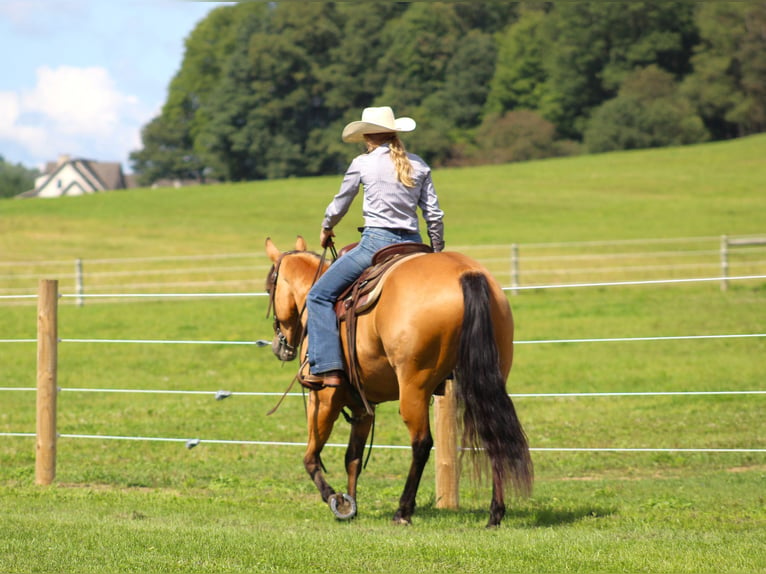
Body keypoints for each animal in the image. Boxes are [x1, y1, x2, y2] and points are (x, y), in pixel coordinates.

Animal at [264, 236, 536, 528]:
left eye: (269, 287)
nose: (279, 347)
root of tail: (466, 274)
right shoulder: (362, 407)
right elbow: (353, 458)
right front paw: (351, 503)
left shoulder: (324, 399)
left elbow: (311, 457)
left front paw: (336, 500)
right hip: (488, 378)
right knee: (494, 435)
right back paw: (495, 513)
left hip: (413, 387)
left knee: (422, 443)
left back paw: (403, 511)